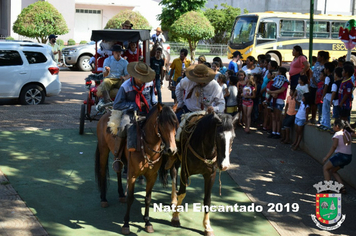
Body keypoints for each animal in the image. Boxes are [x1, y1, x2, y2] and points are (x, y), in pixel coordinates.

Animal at [95, 103, 179, 234]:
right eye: (161, 124)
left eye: (175, 124)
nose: (172, 150)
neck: (146, 146)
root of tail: (105, 114)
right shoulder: (132, 175)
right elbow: (130, 198)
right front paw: (126, 224)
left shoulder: (152, 176)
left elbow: (148, 198)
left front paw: (147, 222)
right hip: (103, 149)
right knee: (103, 172)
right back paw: (103, 199)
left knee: (118, 170)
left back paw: (121, 194)